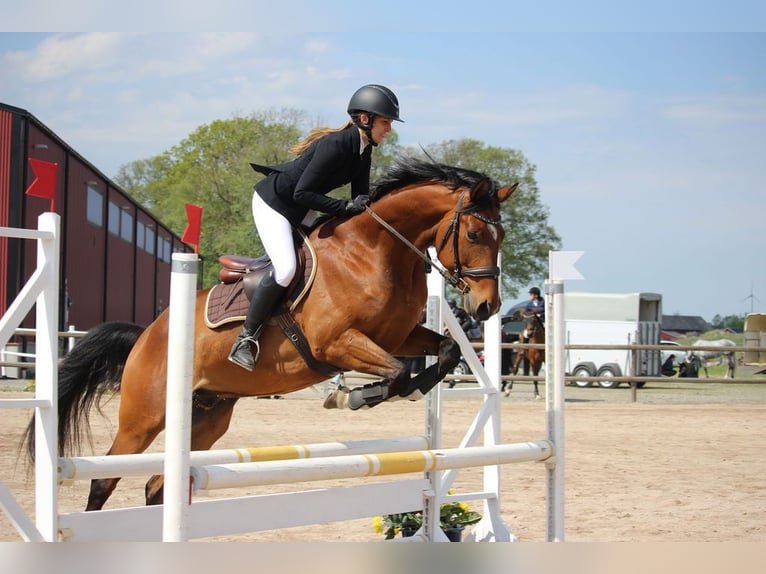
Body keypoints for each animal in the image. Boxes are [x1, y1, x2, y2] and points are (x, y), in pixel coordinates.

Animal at [24, 158, 520, 512]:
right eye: (475, 233)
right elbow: (396, 372)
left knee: (156, 484)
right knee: (104, 479)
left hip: (207, 416)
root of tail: (147, 332)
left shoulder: (399, 336)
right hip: (143, 416)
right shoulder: (336, 343)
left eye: (501, 237)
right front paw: (357, 396)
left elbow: (446, 350)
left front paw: (405, 389)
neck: (373, 253)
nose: (487, 308)